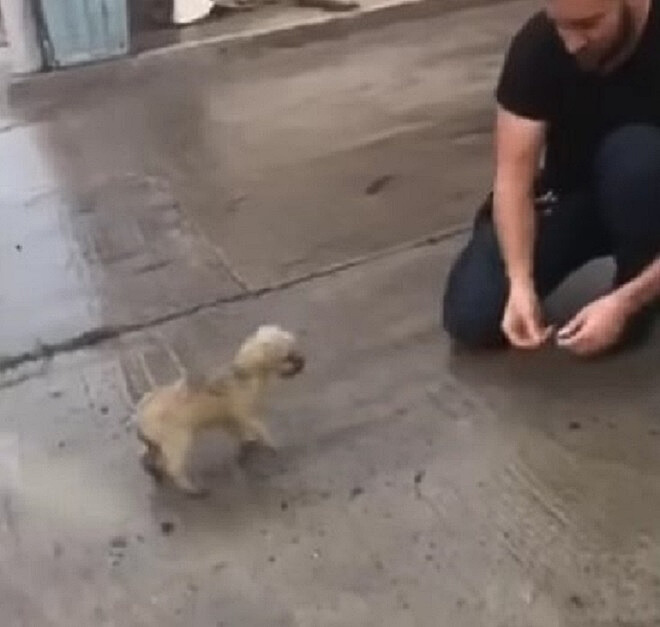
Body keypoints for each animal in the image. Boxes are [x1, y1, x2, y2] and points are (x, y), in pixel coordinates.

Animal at [137, 326, 306, 498]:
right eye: (288, 357)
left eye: (294, 350)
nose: (303, 361)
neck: (245, 373)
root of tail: (141, 414)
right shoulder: (246, 413)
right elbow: (259, 428)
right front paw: (271, 444)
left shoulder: (230, 417)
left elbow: (238, 430)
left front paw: (247, 442)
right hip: (177, 440)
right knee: (173, 467)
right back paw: (192, 489)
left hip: (158, 442)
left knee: (151, 457)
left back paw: (155, 471)